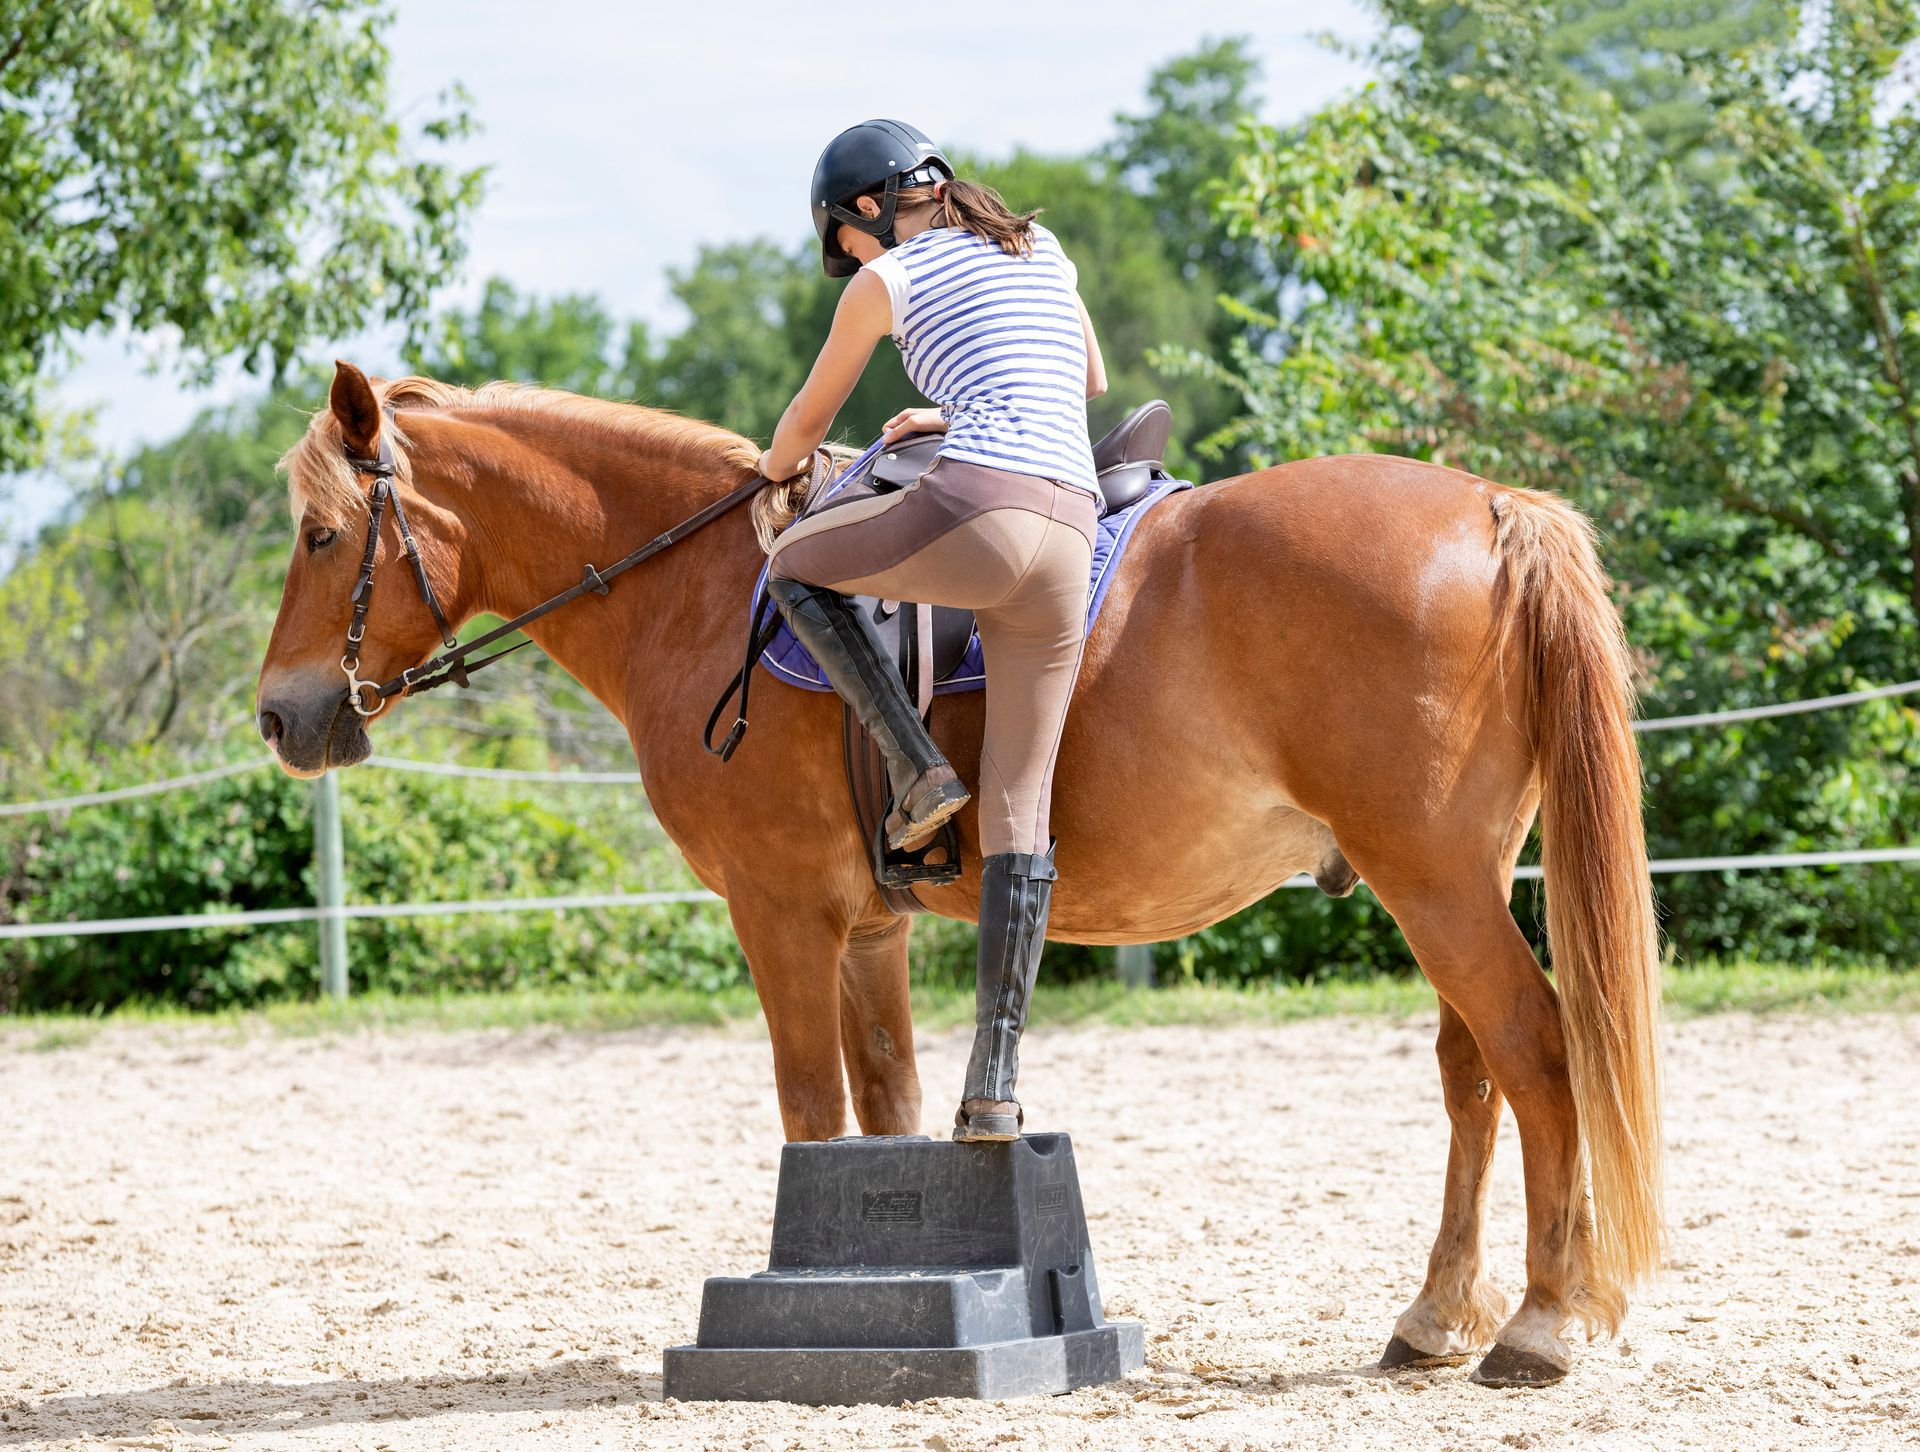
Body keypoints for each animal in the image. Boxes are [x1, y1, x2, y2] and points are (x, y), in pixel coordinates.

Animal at [256, 361, 1663, 1388]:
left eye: (323, 536)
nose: (280, 715)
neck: (704, 585)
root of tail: (1487, 506)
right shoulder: (868, 933)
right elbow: (885, 1104)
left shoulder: (781, 918)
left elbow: (810, 1114)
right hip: (1449, 882)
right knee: (1474, 1072)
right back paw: (1437, 1316)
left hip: (1433, 881)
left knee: (1537, 1052)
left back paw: (1538, 1323)